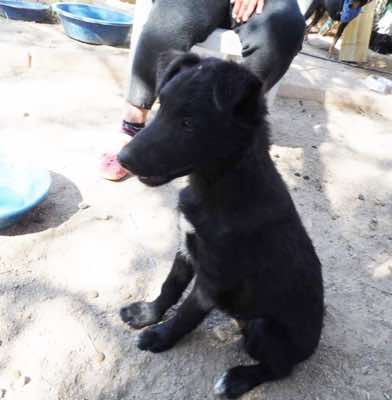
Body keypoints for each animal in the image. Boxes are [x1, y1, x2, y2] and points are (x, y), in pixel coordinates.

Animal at [117, 54, 324, 400]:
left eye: (188, 123)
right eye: (161, 108)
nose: (123, 158)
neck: (218, 190)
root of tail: (312, 346)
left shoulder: (213, 279)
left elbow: (186, 314)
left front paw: (160, 337)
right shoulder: (185, 248)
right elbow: (170, 287)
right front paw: (147, 314)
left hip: (264, 328)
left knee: (279, 369)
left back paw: (236, 380)